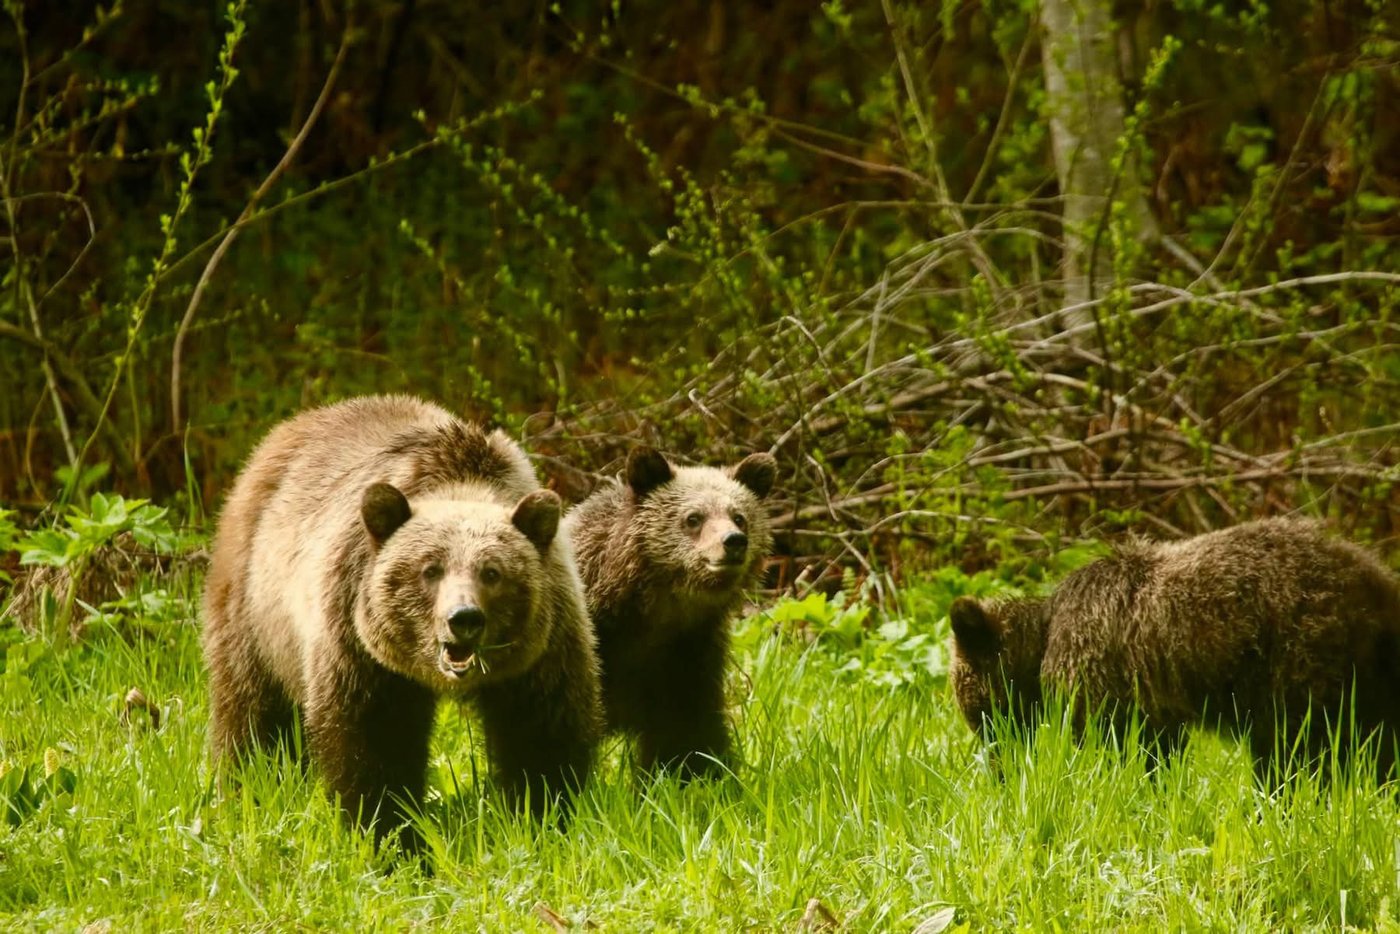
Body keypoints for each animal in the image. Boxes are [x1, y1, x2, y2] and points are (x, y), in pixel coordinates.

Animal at [202, 395, 603, 852]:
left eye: (492, 572)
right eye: (430, 569)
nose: (463, 619)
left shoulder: (542, 649)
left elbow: (542, 735)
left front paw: (543, 817)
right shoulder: (359, 644)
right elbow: (375, 742)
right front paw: (391, 834)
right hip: (255, 609)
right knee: (252, 711)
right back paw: (243, 788)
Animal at [948, 517, 1400, 782]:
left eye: (978, 711)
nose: (998, 767)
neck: (1041, 641)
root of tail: (1377, 582)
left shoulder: (1104, 676)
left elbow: (1124, 745)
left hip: (1299, 656)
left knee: (1294, 745)